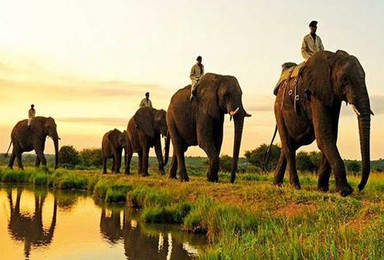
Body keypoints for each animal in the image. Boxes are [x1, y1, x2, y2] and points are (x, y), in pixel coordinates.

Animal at [272, 49, 372, 196]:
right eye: (345, 80)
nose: (359, 186)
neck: (333, 58)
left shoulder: (332, 96)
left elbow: (331, 135)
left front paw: (323, 190)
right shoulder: (315, 93)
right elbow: (324, 136)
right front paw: (345, 191)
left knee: (289, 145)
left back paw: (277, 185)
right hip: (278, 110)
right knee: (289, 146)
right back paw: (295, 186)